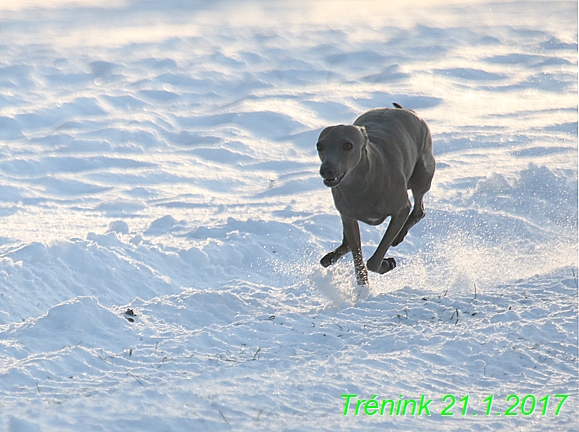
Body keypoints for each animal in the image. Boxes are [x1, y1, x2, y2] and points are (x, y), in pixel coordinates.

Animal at [318, 104, 436, 286]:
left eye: (347, 145)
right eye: (319, 146)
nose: (326, 170)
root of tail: (406, 110)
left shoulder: (401, 210)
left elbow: (374, 261)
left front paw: (386, 263)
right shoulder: (348, 217)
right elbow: (358, 260)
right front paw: (363, 286)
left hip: (422, 174)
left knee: (419, 210)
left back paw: (399, 235)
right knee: (347, 243)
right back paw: (330, 257)